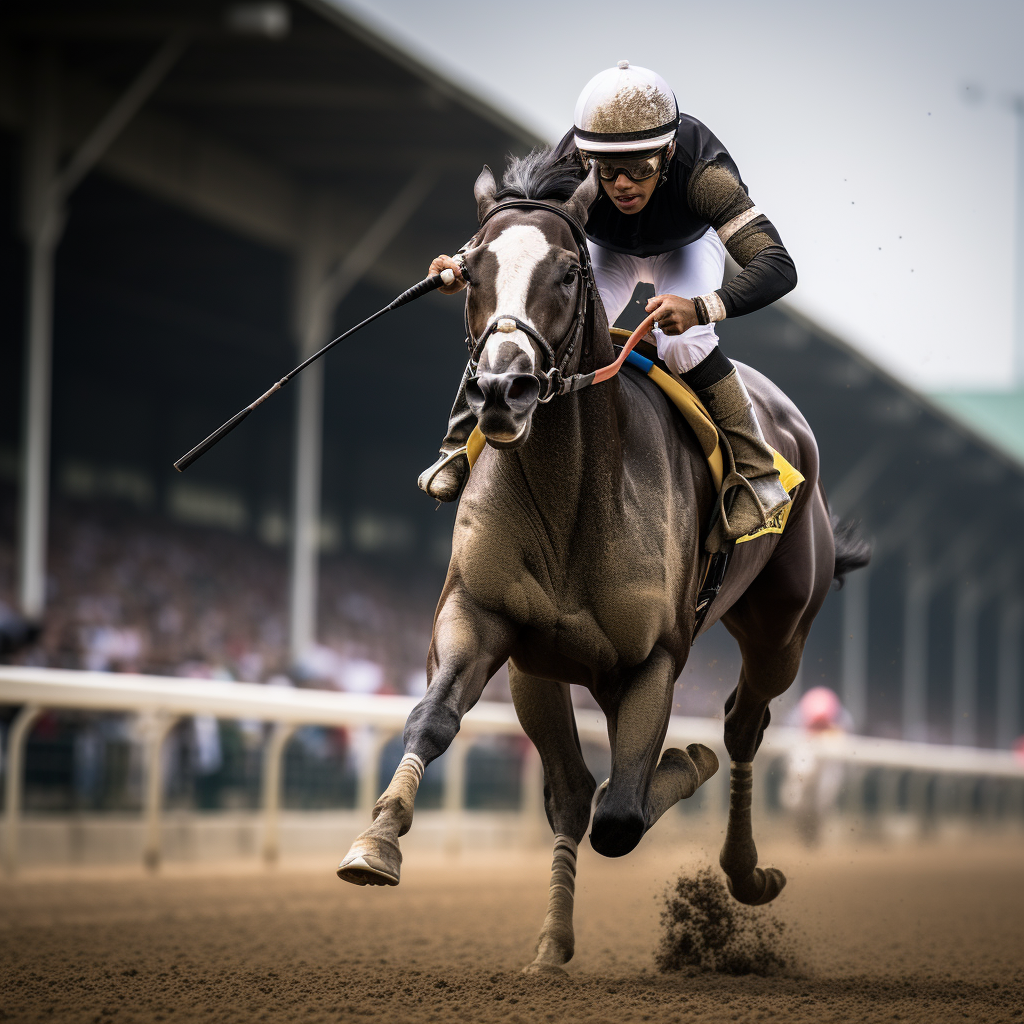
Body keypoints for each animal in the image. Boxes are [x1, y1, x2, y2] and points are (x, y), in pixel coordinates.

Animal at [339, 151, 868, 974]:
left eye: (565, 272)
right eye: (472, 268)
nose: (502, 388)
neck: (572, 496)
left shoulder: (654, 658)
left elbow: (622, 812)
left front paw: (685, 764)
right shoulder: (492, 624)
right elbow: (443, 722)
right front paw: (377, 840)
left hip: (781, 632)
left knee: (742, 727)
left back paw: (746, 867)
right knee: (576, 787)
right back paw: (553, 943)